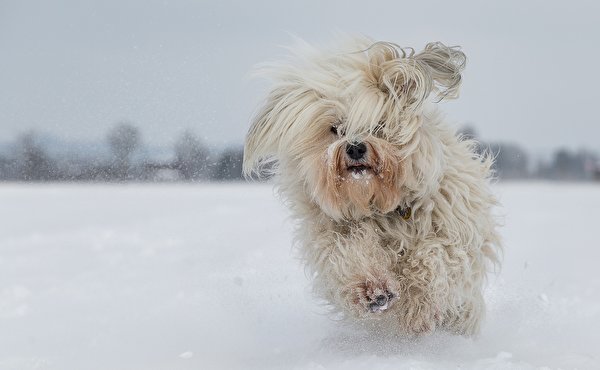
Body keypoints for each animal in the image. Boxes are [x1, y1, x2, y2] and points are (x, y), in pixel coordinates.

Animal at [244, 36, 502, 336]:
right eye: (336, 128)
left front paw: (418, 307)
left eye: (379, 126)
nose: (355, 147)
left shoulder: (452, 232)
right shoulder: (333, 234)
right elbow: (349, 252)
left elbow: (433, 258)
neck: (379, 203)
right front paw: (372, 288)